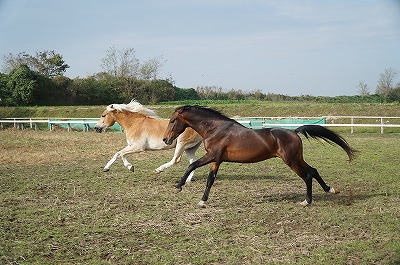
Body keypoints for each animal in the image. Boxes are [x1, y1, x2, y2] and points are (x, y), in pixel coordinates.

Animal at [162, 105, 356, 206]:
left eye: (172, 120)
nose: (166, 139)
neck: (215, 129)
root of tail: (294, 131)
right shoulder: (216, 160)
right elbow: (210, 180)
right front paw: (203, 201)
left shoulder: (212, 156)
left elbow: (191, 165)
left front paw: (179, 186)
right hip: (297, 158)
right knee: (313, 170)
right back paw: (329, 189)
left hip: (291, 160)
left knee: (307, 175)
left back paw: (307, 201)